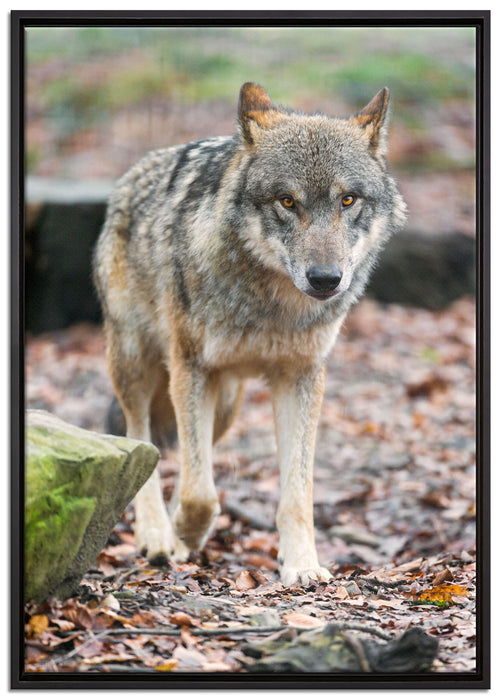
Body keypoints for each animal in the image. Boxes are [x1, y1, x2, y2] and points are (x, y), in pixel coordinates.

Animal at [93, 82, 407, 586]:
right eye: (287, 201)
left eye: (347, 200)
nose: (326, 279)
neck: (271, 307)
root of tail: (132, 175)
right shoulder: (190, 367)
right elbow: (200, 494)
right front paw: (184, 533)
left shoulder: (300, 379)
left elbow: (296, 493)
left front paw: (302, 565)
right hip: (137, 366)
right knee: (141, 441)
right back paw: (158, 536)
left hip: (224, 405)